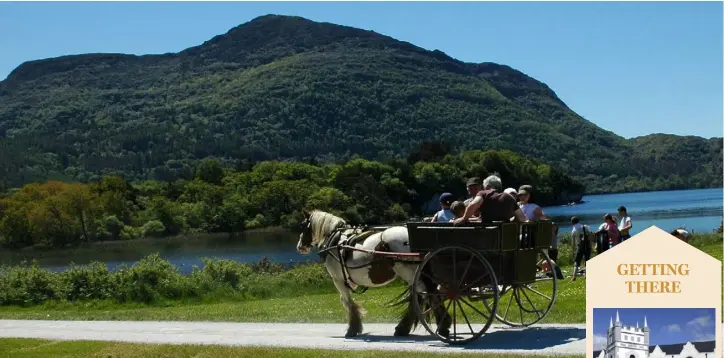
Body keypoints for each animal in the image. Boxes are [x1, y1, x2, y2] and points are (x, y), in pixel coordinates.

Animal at [294, 208, 446, 338]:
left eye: (302, 226)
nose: (299, 246)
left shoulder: (338, 280)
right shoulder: (346, 281)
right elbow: (345, 301)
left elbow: (347, 302)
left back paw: (442, 327)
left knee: (426, 294)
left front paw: (352, 329)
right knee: (423, 296)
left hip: (409, 272)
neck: (336, 239)